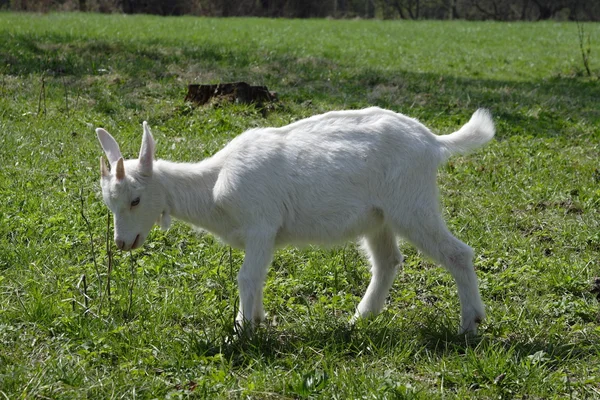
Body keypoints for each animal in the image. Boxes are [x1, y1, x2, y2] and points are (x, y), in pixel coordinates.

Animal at [96, 106, 494, 334]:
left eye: (135, 200)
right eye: (109, 203)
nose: (122, 242)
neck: (213, 184)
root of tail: (433, 142)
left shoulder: (261, 224)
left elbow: (247, 276)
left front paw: (241, 331)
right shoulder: (263, 236)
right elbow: (257, 277)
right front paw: (255, 320)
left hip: (411, 204)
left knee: (458, 253)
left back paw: (470, 325)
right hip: (379, 218)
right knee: (387, 262)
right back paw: (359, 319)